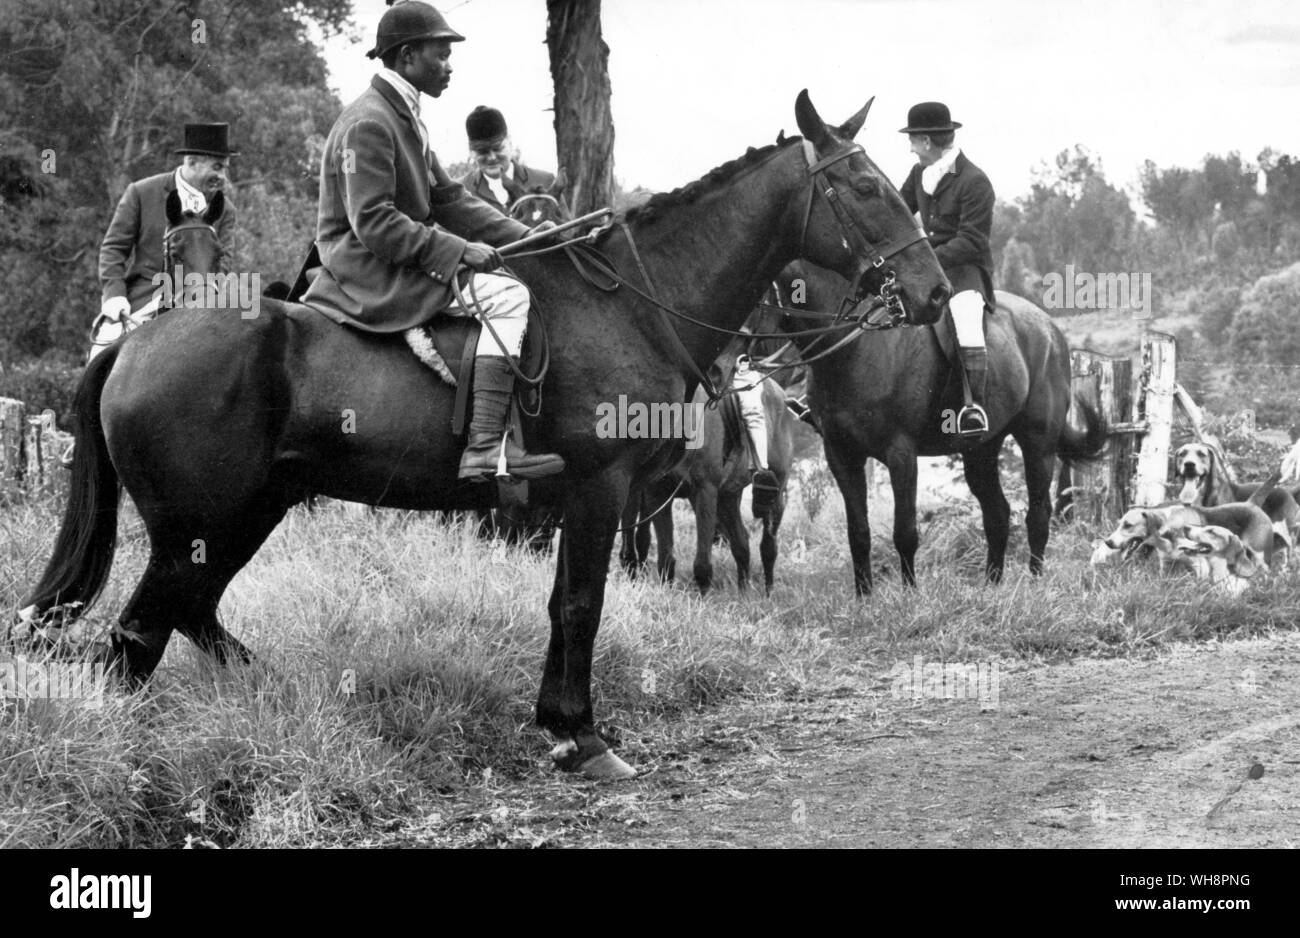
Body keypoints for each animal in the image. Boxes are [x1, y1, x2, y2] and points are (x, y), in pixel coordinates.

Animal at [25, 91, 951, 779]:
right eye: (864, 186)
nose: (934, 292)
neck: (631, 305)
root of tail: (135, 341)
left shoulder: (581, 499)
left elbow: (563, 601)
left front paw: (560, 725)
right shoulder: (600, 489)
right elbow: (582, 602)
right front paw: (584, 737)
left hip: (244, 516)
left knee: (185, 616)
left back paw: (277, 696)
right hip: (195, 527)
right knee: (137, 636)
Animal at [759, 257, 1107, 592]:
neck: (855, 349)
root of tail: (1050, 328)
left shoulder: (901, 453)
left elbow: (905, 532)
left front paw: (910, 596)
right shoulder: (841, 454)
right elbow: (858, 533)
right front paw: (864, 598)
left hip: (1038, 443)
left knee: (1038, 514)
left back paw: (1034, 584)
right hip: (981, 450)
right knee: (997, 513)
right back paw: (992, 587)